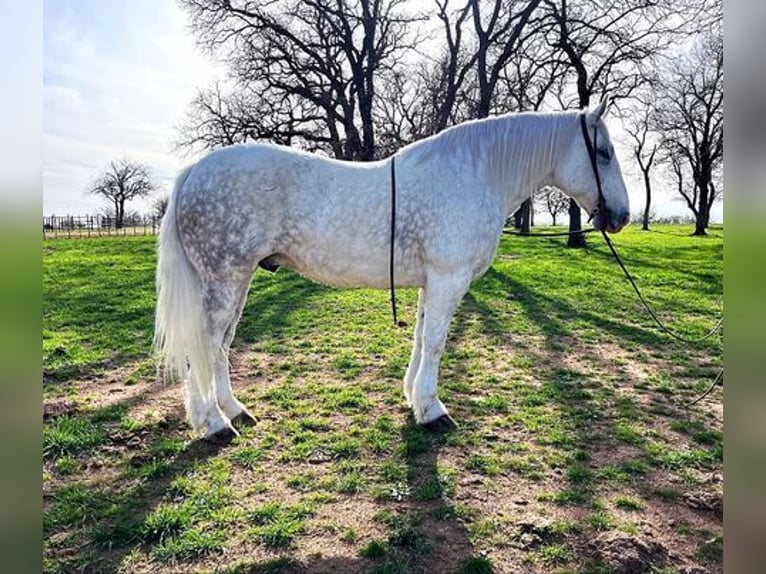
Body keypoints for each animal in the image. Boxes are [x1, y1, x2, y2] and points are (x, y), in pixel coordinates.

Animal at [154, 98, 632, 440]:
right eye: (603, 153)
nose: (622, 216)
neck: (476, 174)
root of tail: (194, 171)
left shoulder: (431, 282)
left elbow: (421, 339)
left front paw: (413, 400)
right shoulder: (448, 279)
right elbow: (436, 343)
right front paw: (433, 410)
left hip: (238, 280)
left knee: (220, 346)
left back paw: (234, 410)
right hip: (225, 278)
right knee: (206, 344)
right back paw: (213, 423)